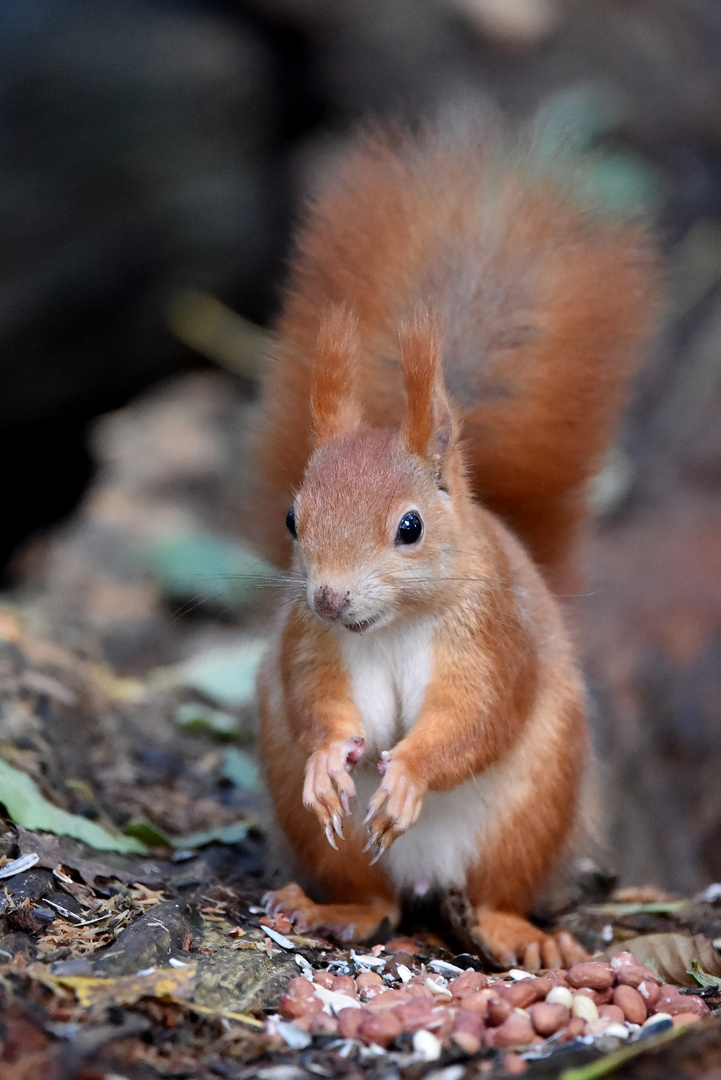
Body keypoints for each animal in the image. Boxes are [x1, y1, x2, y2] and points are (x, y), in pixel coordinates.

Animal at [254, 118, 660, 972]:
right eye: (293, 520)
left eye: (409, 526)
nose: (329, 597)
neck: (394, 624)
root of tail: (420, 876)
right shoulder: (313, 645)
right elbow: (317, 703)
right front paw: (328, 760)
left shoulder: (491, 637)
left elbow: (475, 714)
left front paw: (408, 771)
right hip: (328, 838)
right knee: (372, 898)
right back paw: (331, 909)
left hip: (528, 811)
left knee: (495, 889)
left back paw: (516, 933)